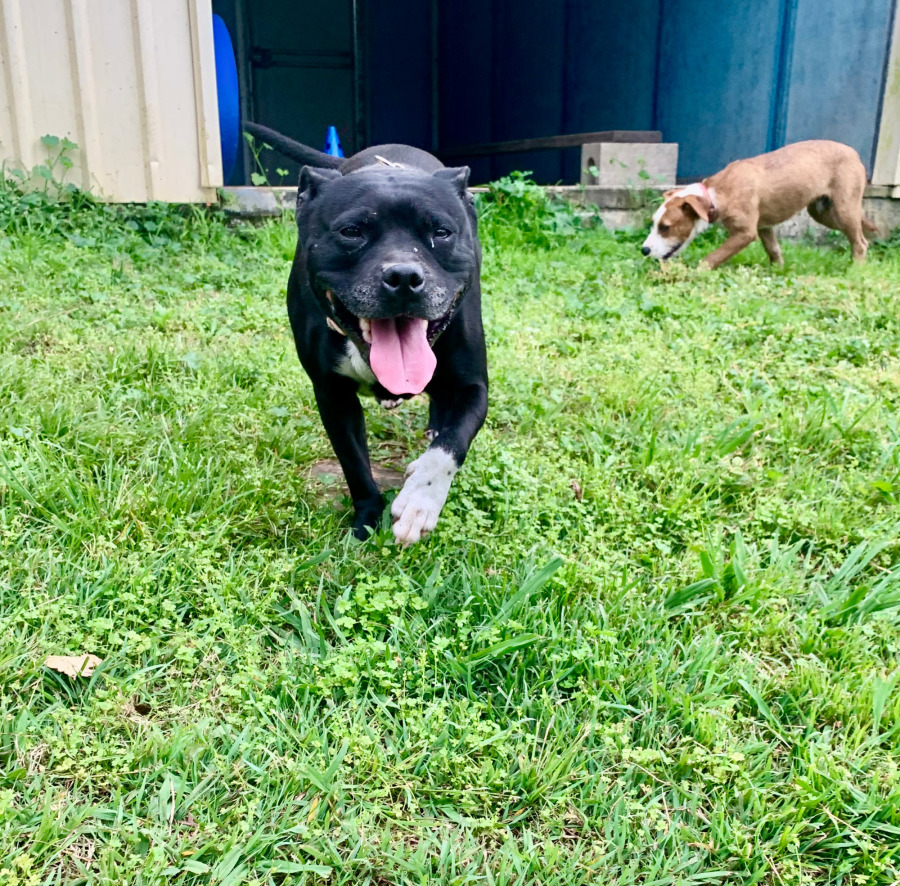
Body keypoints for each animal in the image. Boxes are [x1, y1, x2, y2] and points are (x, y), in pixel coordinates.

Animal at [244, 123, 488, 545]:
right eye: (352, 231)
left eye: (441, 232)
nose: (404, 276)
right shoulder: (332, 396)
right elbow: (354, 464)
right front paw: (367, 517)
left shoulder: (474, 388)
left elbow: (450, 447)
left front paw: (419, 502)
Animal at [642, 140, 878, 268]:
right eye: (653, 224)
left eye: (665, 227)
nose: (644, 250)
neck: (716, 194)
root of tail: (854, 153)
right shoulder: (764, 227)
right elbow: (774, 250)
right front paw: (777, 272)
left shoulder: (745, 233)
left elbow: (712, 257)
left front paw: (695, 271)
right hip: (823, 212)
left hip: (844, 208)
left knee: (860, 242)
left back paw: (855, 269)